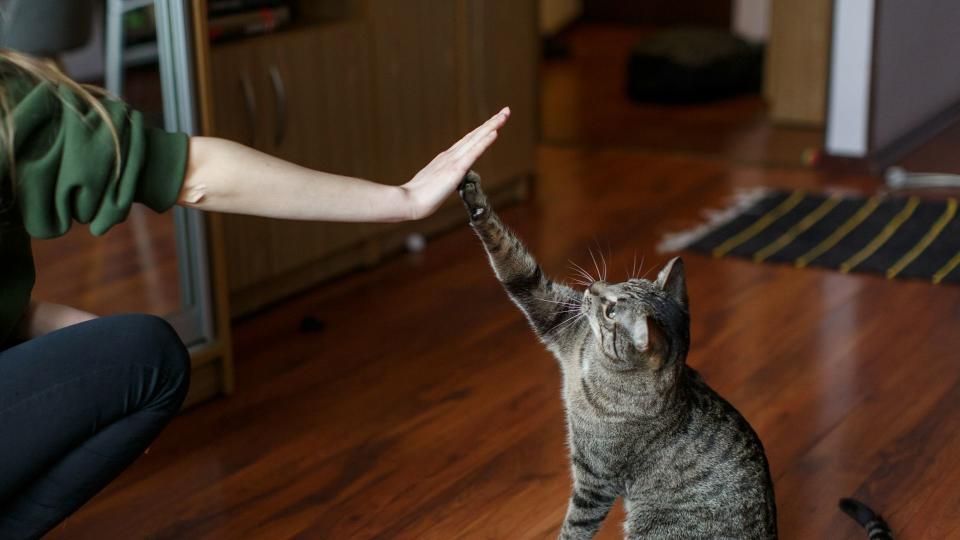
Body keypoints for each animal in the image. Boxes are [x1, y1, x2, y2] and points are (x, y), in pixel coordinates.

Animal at [458, 173, 892, 540]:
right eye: (622, 281)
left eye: (611, 310)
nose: (593, 288)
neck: (593, 362)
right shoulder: (555, 313)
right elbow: (513, 260)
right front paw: (473, 195)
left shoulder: (595, 480)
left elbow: (575, 527)